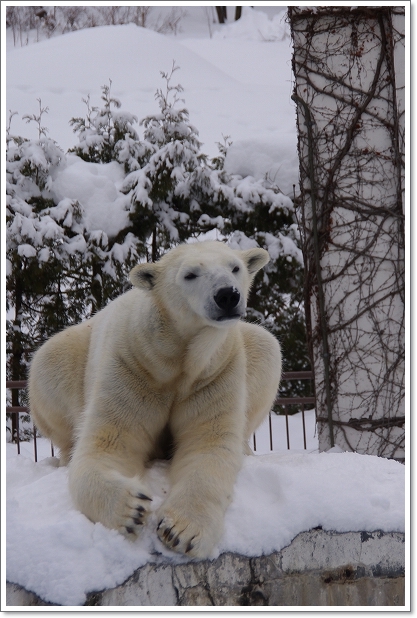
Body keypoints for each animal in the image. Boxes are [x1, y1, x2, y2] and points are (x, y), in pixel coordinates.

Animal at [28, 241, 280, 560]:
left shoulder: (215, 370)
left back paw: (245, 448)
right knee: (49, 363)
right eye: (190, 274)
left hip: (247, 348)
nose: (227, 295)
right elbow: (109, 443)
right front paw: (131, 509)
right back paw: (64, 454)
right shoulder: (134, 365)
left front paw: (181, 531)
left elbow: (208, 444)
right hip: (71, 357)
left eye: (235, 267)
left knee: (266, 346)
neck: (176, 358)